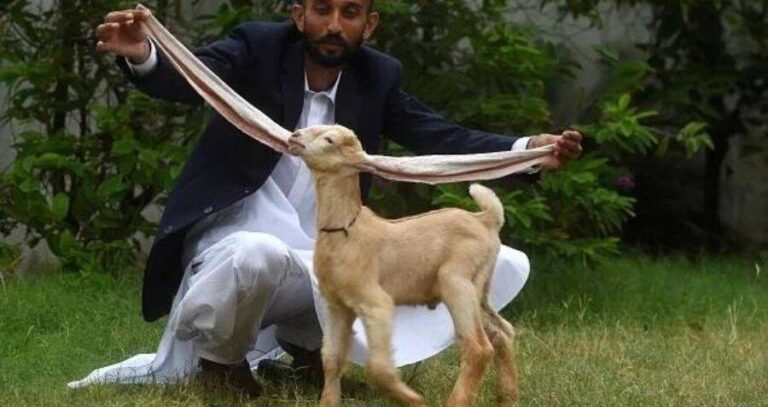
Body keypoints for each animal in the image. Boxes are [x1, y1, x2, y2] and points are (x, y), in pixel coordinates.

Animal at [289, 125, 519, 407]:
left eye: (329, 140)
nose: (294, 136)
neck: (346, 229)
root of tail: (485, 219)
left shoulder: (376, 303)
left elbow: (377, 368)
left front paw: (413, 399)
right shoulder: (337, 306)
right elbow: (331, 359)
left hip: (457, 281)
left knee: (478, 347)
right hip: (480, 287)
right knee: (502, 332)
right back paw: (508, 397)